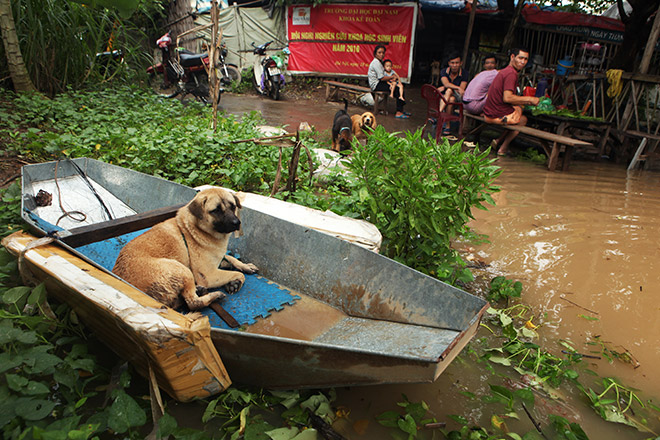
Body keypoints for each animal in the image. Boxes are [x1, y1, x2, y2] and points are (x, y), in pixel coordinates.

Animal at [113, 188, 258, 310]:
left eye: (233, 206)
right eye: (216, 210)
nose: (237, 223)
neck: (195, 229)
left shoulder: (217, 258)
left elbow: (230, 257)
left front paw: (244, 267)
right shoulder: (208, 275)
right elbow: (239, 274)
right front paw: (236, 280)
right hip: (182, 269)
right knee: (192, 303)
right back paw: (213, 296)